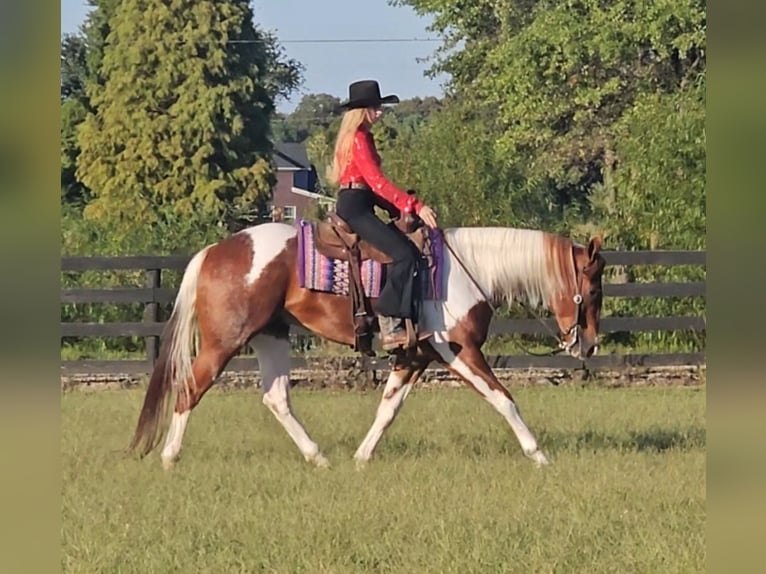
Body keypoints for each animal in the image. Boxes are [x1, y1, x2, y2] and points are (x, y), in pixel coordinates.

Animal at [128, 220, 606, 469]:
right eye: (594, 288)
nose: (588, 346)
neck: (465, 269)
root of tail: (214, 250)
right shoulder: (458, 350)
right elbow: (503, 398)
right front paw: (538, 454)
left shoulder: (414, 356)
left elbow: (388, 408)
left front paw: (361, 456)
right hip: (225, 341)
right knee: (190, 388)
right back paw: (169, 457)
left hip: (271, 335)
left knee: (276, 398)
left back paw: (318, 458)